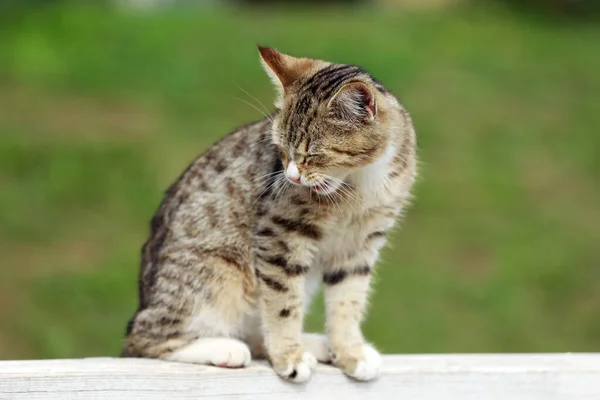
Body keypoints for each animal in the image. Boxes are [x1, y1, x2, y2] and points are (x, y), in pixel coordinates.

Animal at [122, 45, 418, 382]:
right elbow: (282, 302)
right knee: (144, 338)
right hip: (215, 274)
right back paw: (225, 348)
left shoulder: (360, 245)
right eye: (282, 151)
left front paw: (349, 352)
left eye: (312, 155)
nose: (291, 177)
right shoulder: (279, 234)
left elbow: (348, 300)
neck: (360, 184)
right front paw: (289, 356)